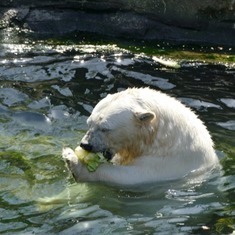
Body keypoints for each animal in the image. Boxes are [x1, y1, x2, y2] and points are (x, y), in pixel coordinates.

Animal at [62, 87, 218, 186]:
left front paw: (71, 158)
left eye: (105, 128)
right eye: (89, 123)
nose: (85, 144)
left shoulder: (168, 166)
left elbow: (128, 177)